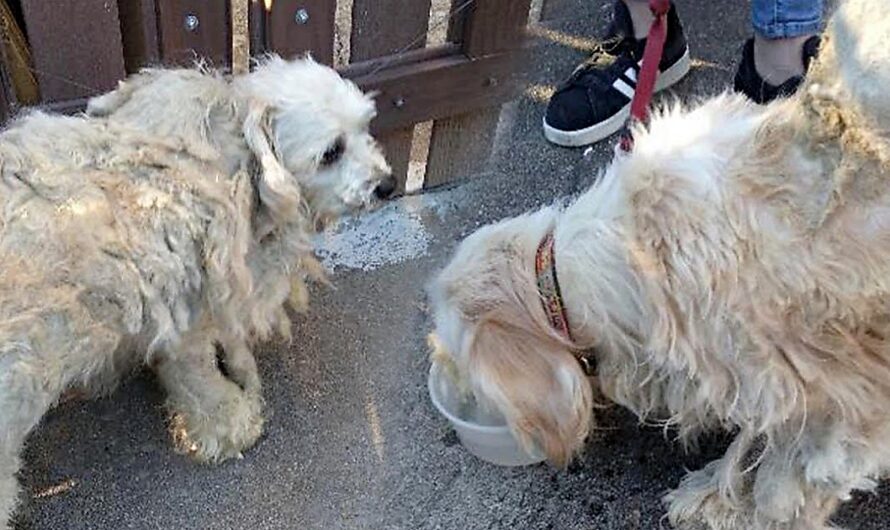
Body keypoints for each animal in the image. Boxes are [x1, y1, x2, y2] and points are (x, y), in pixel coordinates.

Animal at [0, 54, 392, 524]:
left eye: (366, 126)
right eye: (331, 152)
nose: (387, 184)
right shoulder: (184, 309)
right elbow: (196, 371)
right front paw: (229, 424)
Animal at [426, 0, 888, 524]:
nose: (452, 385)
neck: (635, 253)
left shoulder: (837, 405)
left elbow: (784, 483)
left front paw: (747, 512)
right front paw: (717, 494)